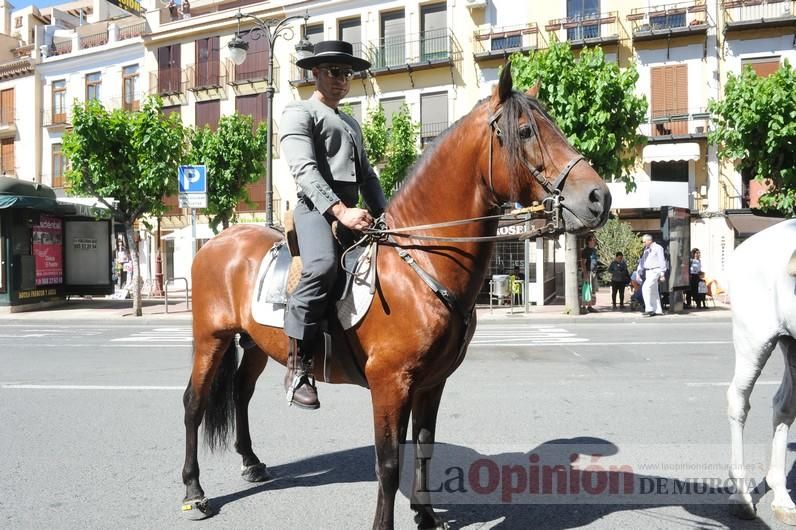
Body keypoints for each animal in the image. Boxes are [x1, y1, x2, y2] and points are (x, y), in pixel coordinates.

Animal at [183, 66, 612, 528]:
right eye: (527, 130)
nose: (599, 197)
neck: (420, 261)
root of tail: (214, 242)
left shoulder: (432, 381)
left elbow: (423, 446)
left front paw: (426, 514)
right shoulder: (390, 383)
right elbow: (388, 463)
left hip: (255, 344)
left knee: (241, 394)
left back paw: (251, 462)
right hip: (210, 340)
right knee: (194, 403)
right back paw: (194, 491)